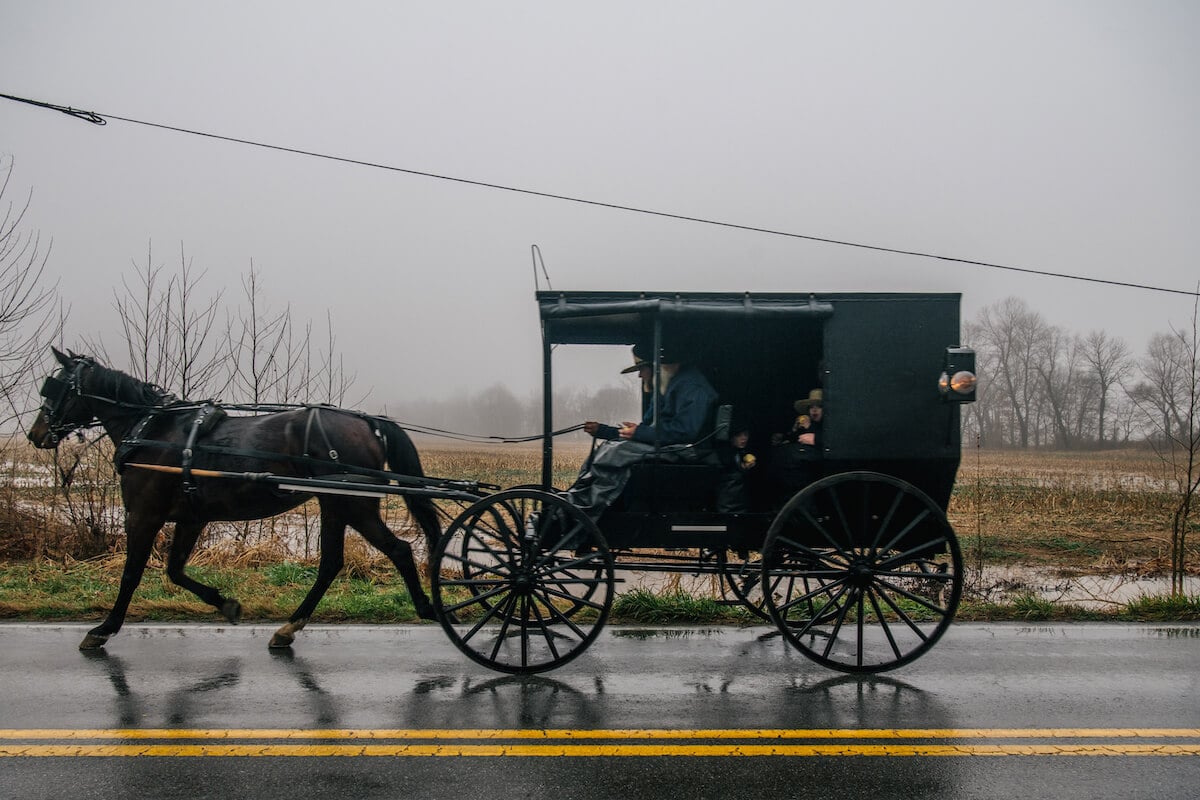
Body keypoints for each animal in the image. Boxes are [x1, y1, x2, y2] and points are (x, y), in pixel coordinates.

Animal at [29, 347, 446, 652]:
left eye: (54, 387)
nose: (36, 434)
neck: (152, 429)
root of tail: (368, 423)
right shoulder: (191, 517)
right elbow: (175, 570)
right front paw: (226, 603)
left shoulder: (143, 515)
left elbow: (132, 574)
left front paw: (103, 628)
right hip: (335, 504)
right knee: (333, 563)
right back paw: (289, 627)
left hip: (353, 504)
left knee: (398, 550)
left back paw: (428, 608)